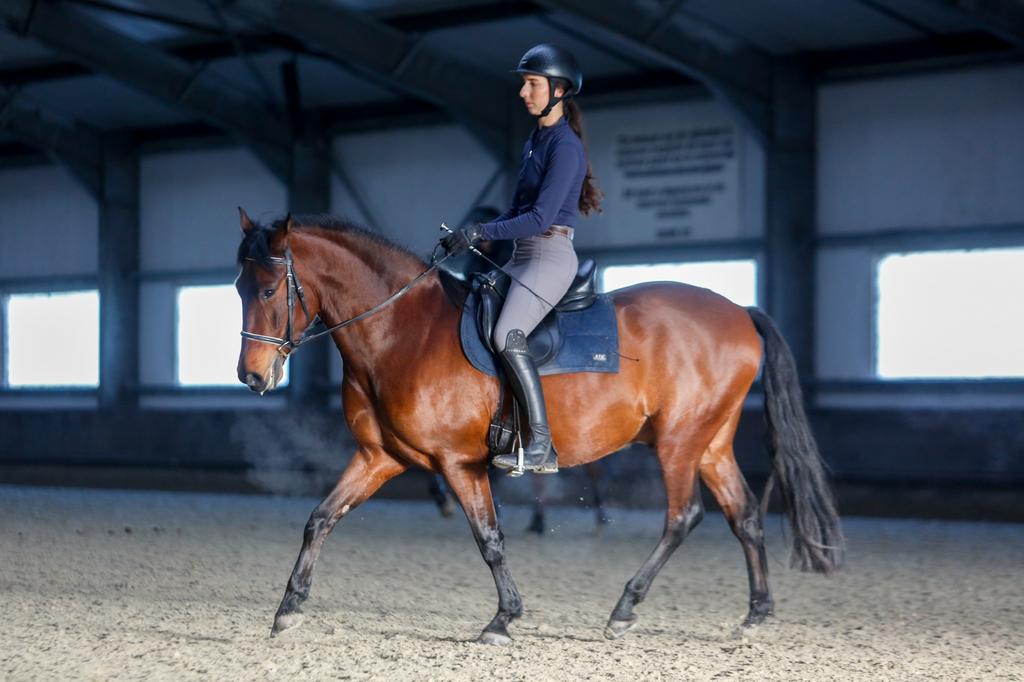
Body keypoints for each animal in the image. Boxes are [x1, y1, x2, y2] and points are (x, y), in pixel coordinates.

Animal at [234, 211, 845, 645]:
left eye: (267, 291)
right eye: (238, 289)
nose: (251, 376)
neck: (399, 330)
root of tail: (740, 311)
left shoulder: (459, 463)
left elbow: (489, 539)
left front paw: (503, 620)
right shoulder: (379, 457)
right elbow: (320, 519)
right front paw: (287, 610)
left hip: (680, 441)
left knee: (684, 517)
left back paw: (624, 609)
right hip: (711, 442)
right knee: (745, 516)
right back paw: (755, 615)